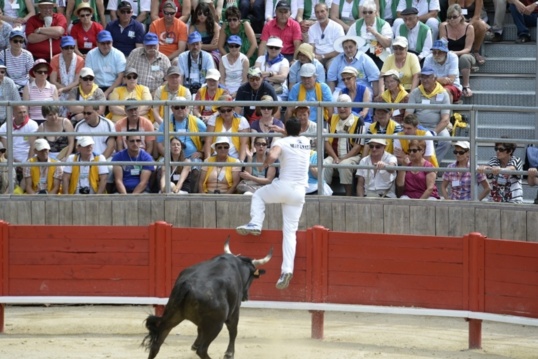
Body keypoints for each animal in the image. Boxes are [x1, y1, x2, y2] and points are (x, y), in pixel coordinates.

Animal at [142, 239, 272, 359]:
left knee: (156, 344)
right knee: (202, 350)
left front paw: (194, 345)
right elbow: (233, 330)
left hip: (172, 314)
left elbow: (199, 329)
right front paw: (229, 353)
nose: (246, 296)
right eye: (252, 279)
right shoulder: (234, 311)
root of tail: (187, 285)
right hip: (215, 325)